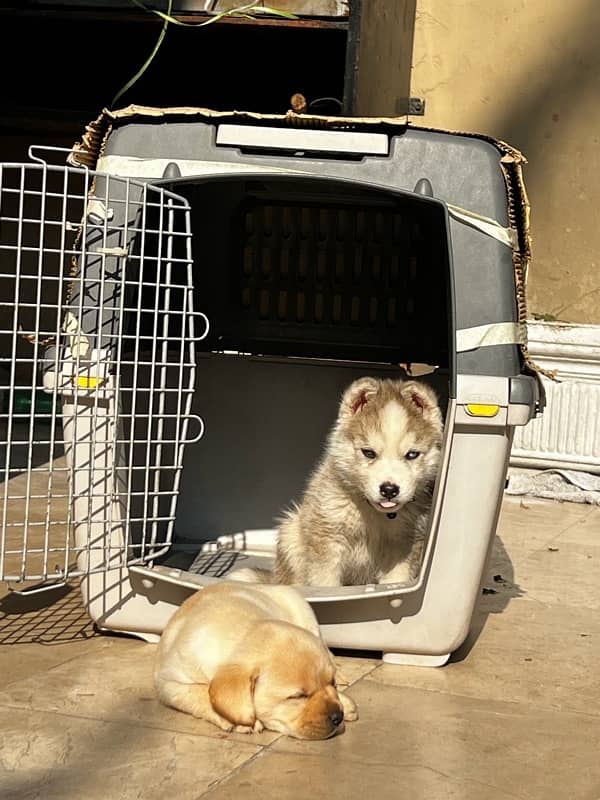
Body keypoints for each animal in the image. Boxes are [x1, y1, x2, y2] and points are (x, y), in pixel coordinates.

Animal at [156, 580, 356, 740]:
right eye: (298, 696)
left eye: (331, 683)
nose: (338, 716)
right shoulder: (169, 683)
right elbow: (201, 692)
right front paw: (241, 721)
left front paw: (344, 700)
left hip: (302, 608)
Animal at [232, 376, 442, 588]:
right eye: (368, 453)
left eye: (412, 454)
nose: (389, 489)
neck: (372, 514)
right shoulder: (327, 541)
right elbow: (325, 583)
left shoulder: (402, 544)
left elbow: (397, 579)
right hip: (290, 532)